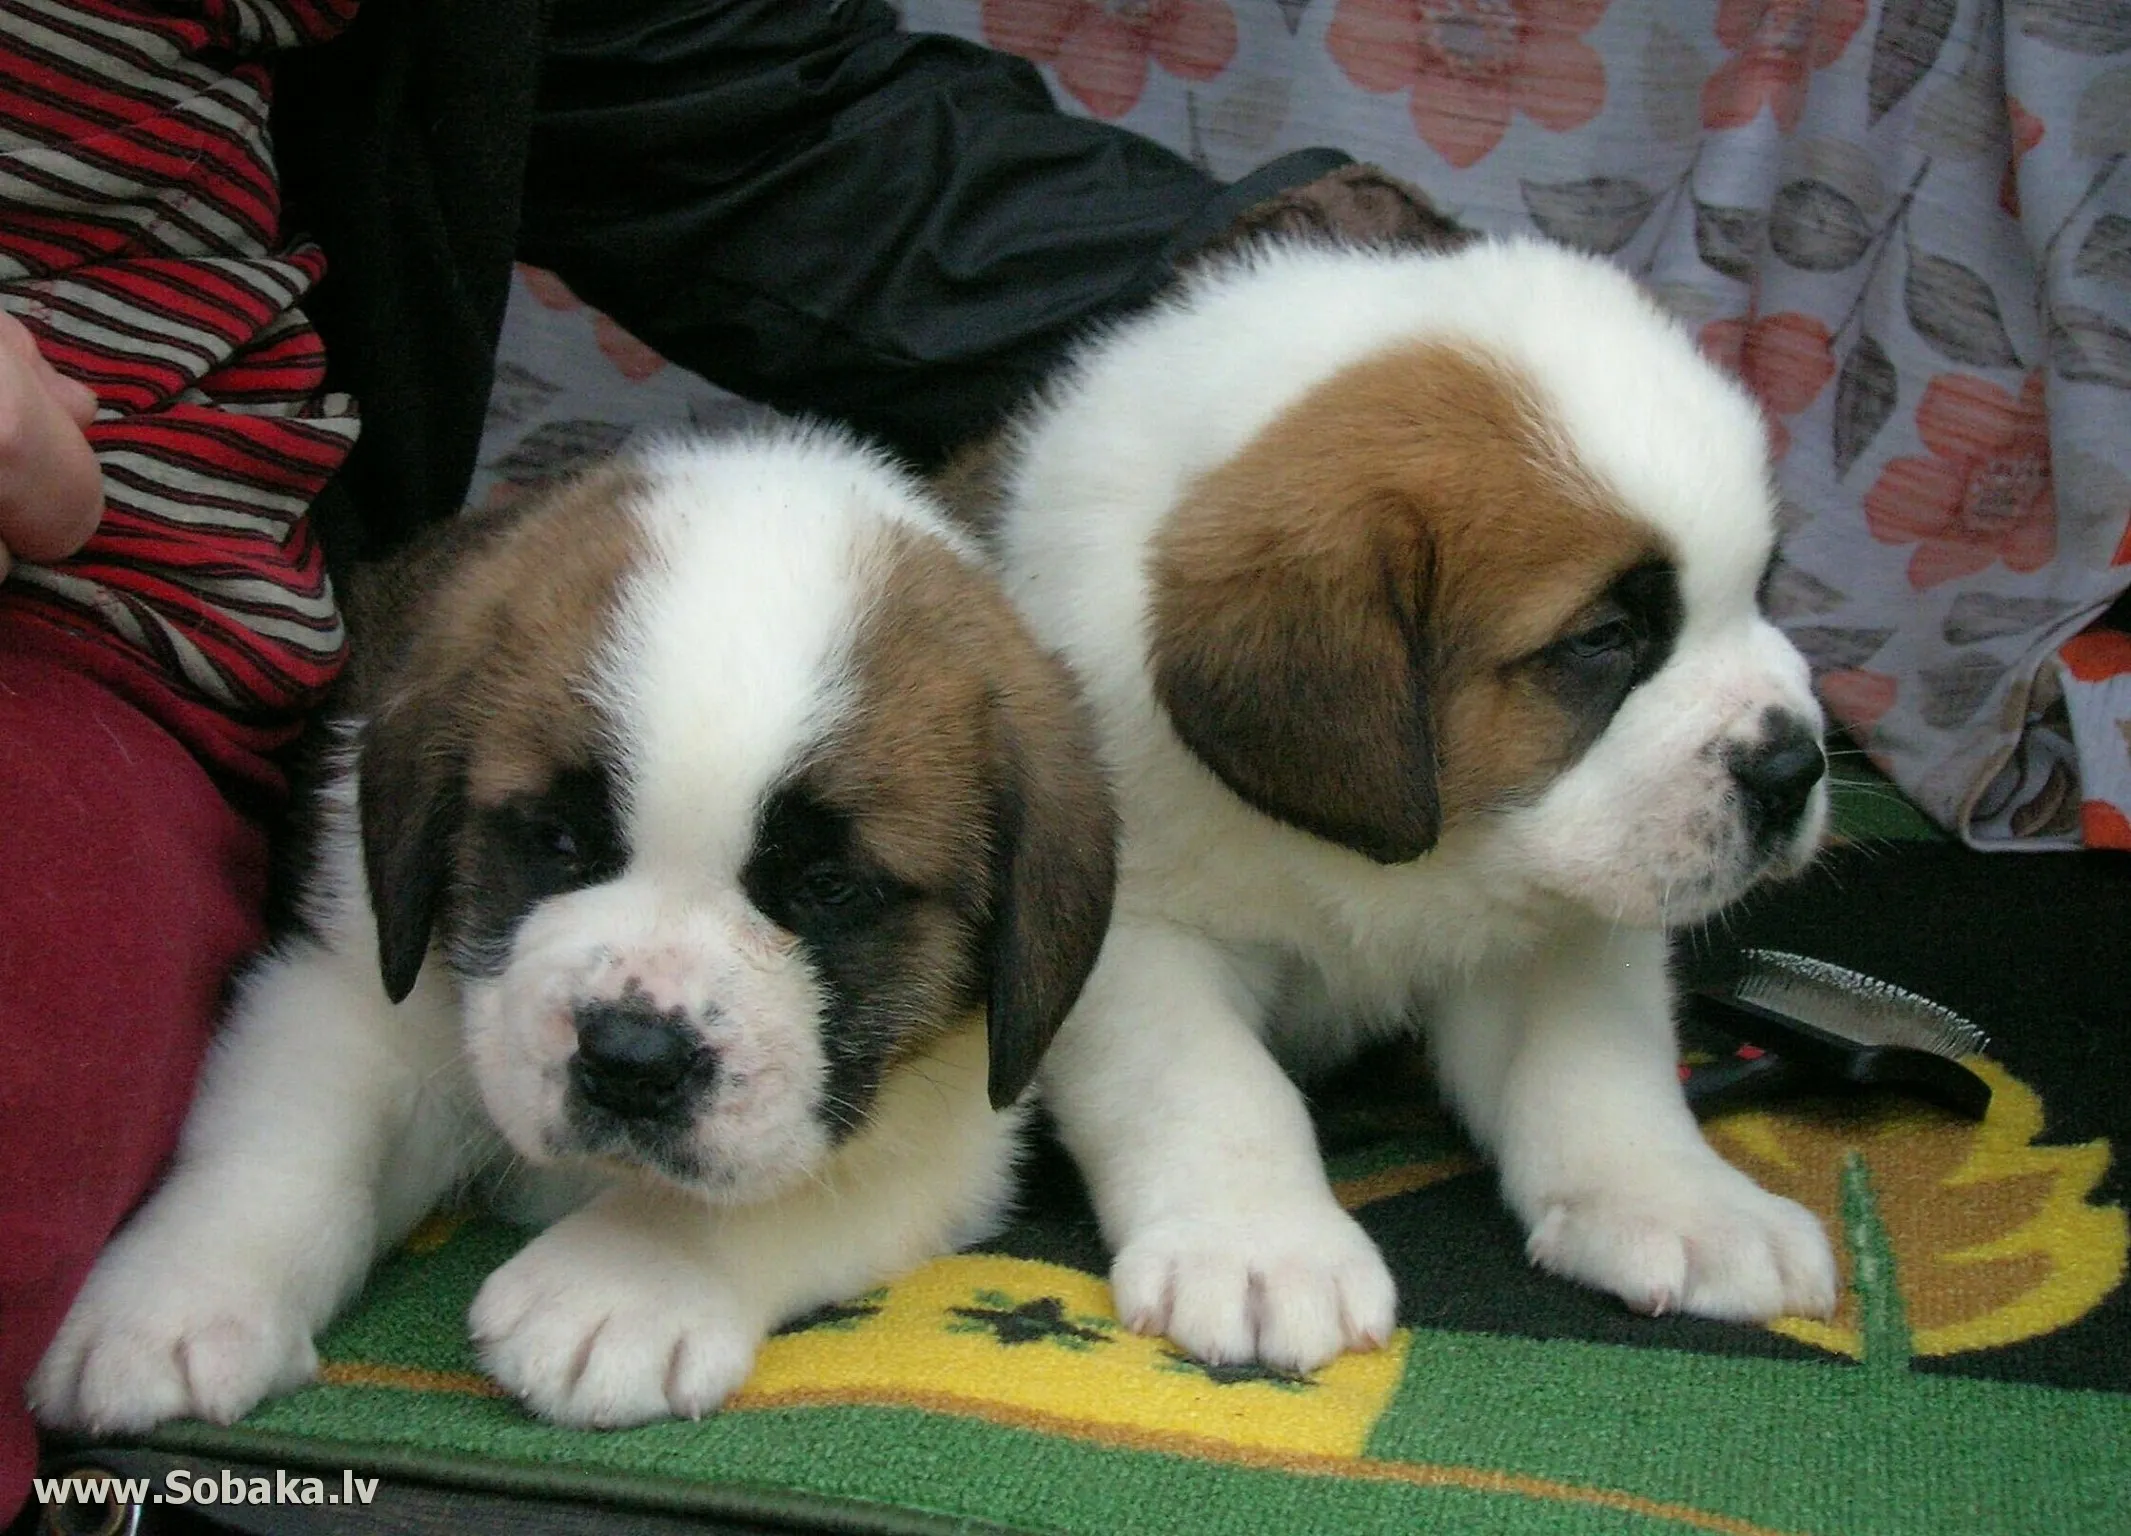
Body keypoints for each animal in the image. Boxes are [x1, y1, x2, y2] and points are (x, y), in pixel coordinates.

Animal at [33, 426, 1116, 1431]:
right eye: (556, 840)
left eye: (828, 887)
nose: (634, 1061)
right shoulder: (347, 979)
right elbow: (288, 1141)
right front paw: (174, 1305)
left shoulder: (955, 1120)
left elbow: (801, 1178)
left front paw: (621, 1286)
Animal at [975, 242, 1841, 1380]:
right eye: (1603, 637)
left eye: (1760, 591)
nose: (1794, 768)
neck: (1405, 861)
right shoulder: (1130, 922)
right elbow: (1207, 1077)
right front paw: (1259, 1247)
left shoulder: (1563, 913)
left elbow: (1595, 1060)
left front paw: (1683, 1205)